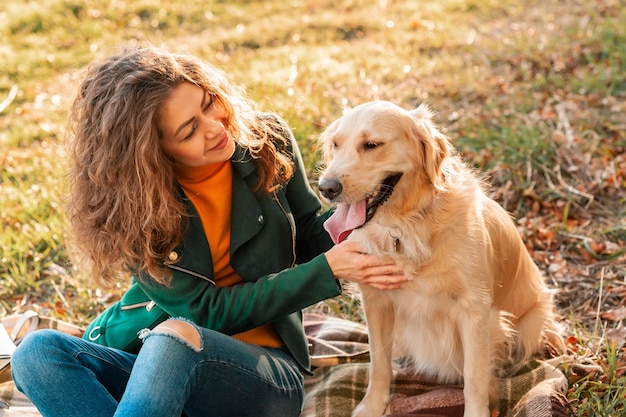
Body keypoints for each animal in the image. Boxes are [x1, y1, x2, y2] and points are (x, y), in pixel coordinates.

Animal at [316, 101, 560, 416]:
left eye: (371, 145)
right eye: (336, 144)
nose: (326, 187)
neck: (406, 225)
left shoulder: (475, 311)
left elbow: (475, 378)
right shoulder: (377, 301)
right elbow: (378, 362)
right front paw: (373, 405)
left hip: (532, 322)